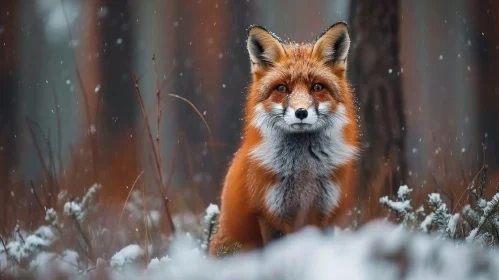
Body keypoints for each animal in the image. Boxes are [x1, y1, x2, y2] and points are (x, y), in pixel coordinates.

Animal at [209, 21, 362, 256]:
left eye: (317, 87)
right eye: (282, 88)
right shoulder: (269, 215)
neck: (304, 172)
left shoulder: (324, 213)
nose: (301, 112)